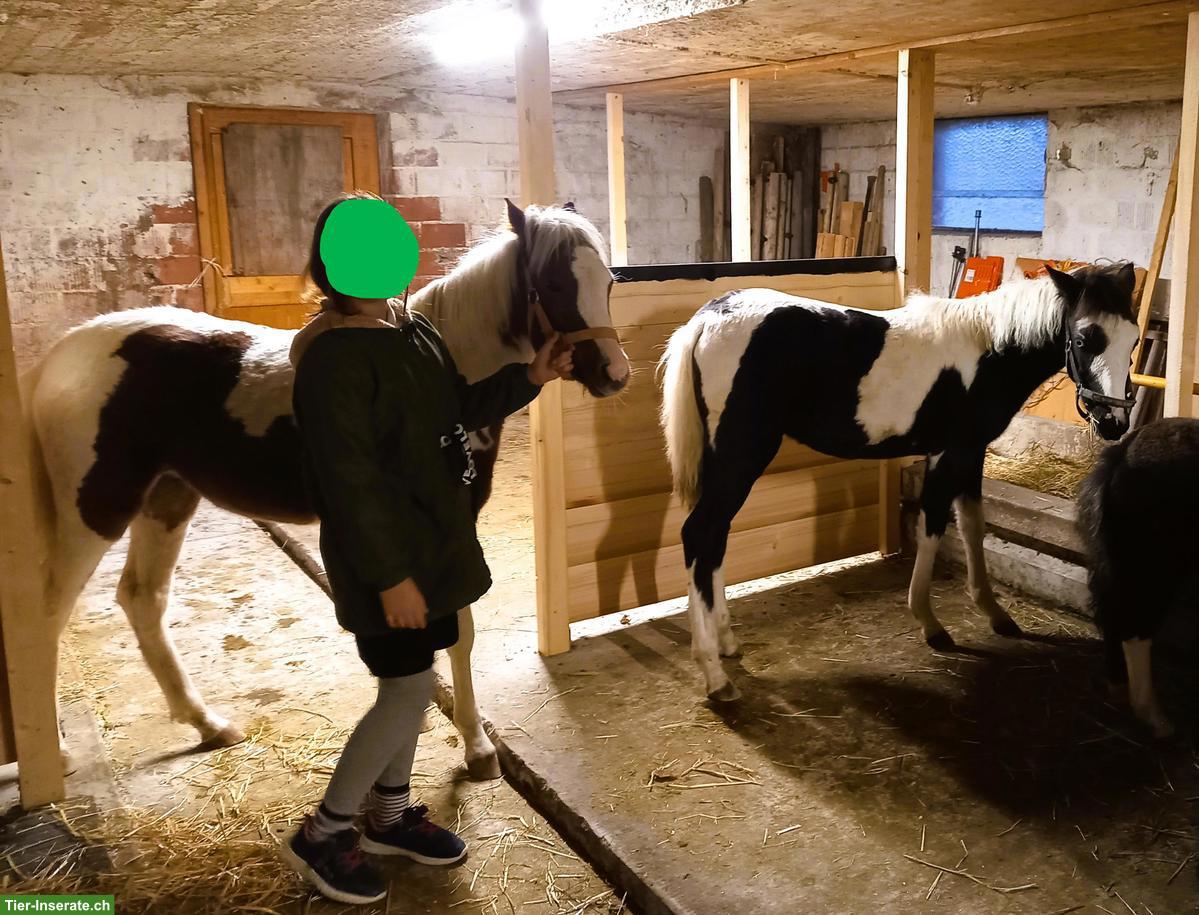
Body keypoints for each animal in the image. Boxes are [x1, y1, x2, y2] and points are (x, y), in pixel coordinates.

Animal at [26, 199, 629, 779]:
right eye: (553, 283)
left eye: (607, 282)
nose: (616, 374)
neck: (442, 365)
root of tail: (61, 355)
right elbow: (459, 630)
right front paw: (477, 749)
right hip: (97, 509)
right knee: (49, 614)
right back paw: (57, 755)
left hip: (167, 499)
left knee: (142, 599)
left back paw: (207, 724)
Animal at [659, 262, 1138, 700]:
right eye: (1083, 338)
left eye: (1132, 339)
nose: (1113, 423)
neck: (985, 353)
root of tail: (711, 317)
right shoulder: (948, 455)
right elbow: (932, 528)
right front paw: (931, 624)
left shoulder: (971, 455)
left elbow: (973, 528)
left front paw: (995, 614)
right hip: (742, 456)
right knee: (700, 533)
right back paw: (715, 674)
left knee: (714, 539)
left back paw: (726, 644)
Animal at [1077, 416, 1199, 739]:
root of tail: (1121, 455)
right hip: (1156, 569)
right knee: (1135, 626)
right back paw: (1155, 718)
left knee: (1111, 615)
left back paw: (1118, 685)